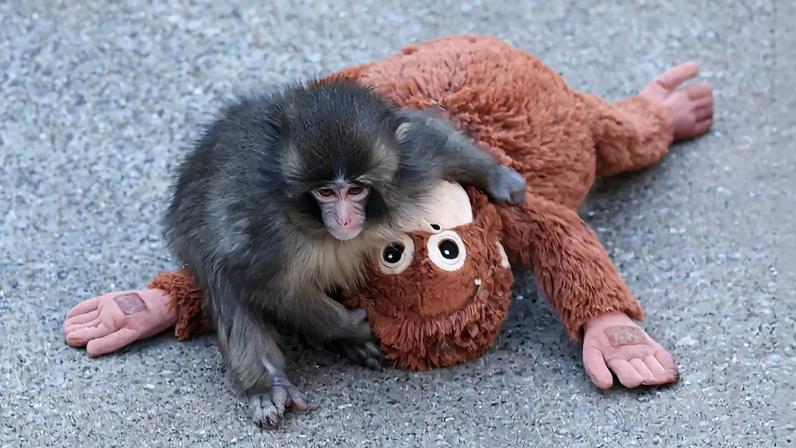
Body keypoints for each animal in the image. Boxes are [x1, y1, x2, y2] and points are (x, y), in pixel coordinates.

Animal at [163, 79, 526, 428]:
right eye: (325, 192)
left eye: (355, 189)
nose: (343, 219)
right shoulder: (264, 232)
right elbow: (267, 287)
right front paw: (351, 327)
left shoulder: (411, 166)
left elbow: (434, 137)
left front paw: (500, 178)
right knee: (224, 284)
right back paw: (269, 383)